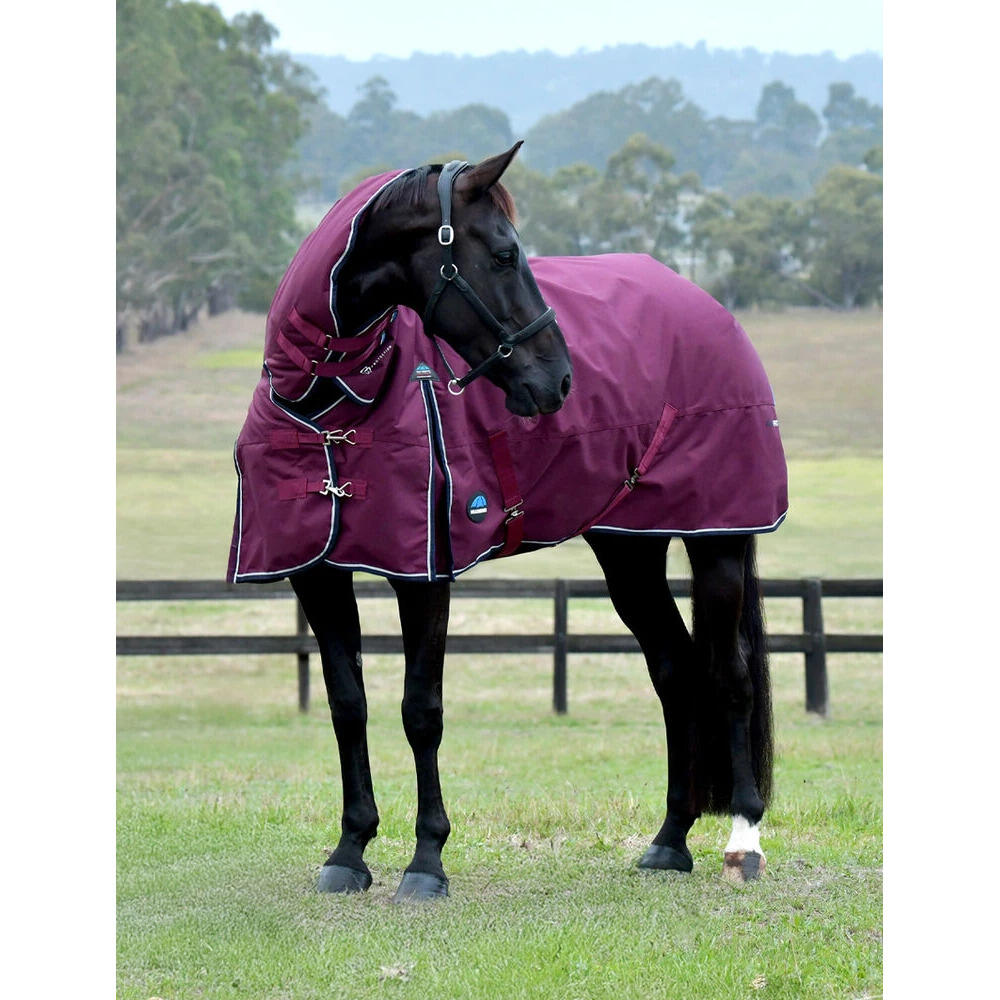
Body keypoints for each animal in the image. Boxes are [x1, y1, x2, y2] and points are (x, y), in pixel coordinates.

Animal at [227, 142, 788, 901]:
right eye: (502, 253)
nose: (560, 381)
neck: (332, 403)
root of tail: (708, 308)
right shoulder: (315, 574)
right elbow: (348, 704)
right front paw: (350, 850)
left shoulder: (424, 576)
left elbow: (421, 711)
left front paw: (426, 861)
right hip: (629, 550)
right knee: (675, 670)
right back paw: (670, 841)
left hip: (718, 541)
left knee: (728, 677)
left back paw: (744, 841)